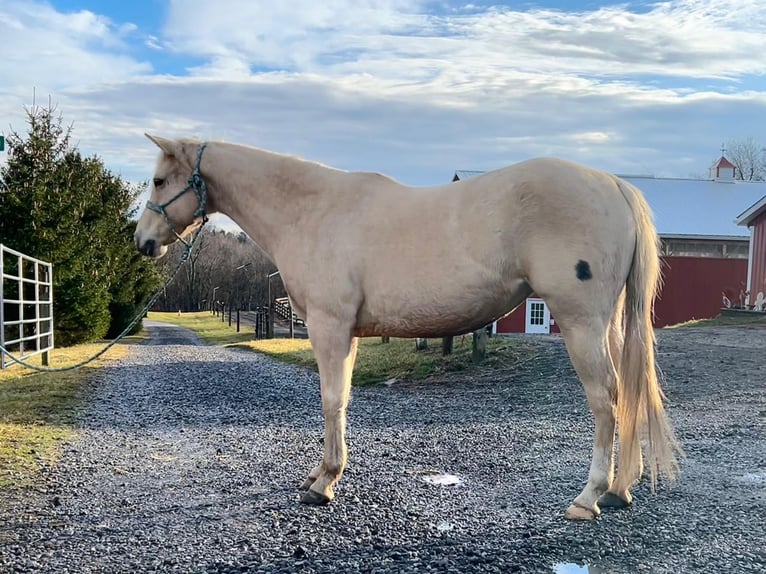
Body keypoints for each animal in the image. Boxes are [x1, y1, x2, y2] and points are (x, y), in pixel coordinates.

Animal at [135, 135, 680, 520]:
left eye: (159, 181)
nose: (143, 242)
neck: (311, 211)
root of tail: (614, 184)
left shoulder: (329, 326)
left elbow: (330, 400)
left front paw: (323, 484)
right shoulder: (350, 332)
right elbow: (343, 400)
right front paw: (322, 475)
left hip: (580, 322)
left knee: (605, 400)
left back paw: (589, 497)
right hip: (609, 323)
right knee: (627, 395)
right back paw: (619, 491)